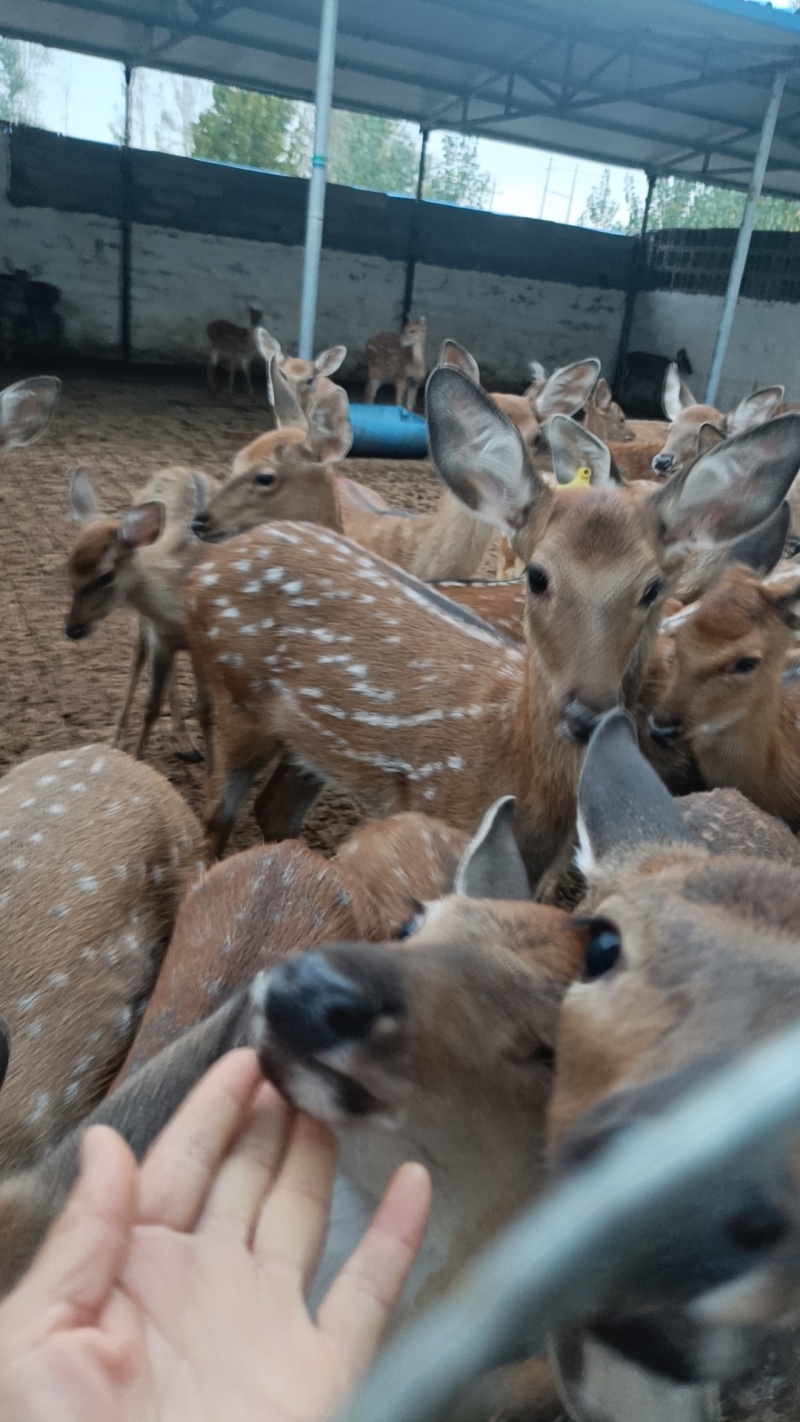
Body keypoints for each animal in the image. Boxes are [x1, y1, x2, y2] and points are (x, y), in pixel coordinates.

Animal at [65, 464, 220, 762]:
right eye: (67, 568)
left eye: (106, 576)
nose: (73, 629)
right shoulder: (159, 635)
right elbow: (151, 705)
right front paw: (137, 759)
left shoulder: (204, 642)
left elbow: (206, 709)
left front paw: (214, 769)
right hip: (147, 628)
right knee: (138, 656)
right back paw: (120, 738)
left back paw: (186, 743)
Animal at [184, 365, 800, 871]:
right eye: (537, 575)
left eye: (652, 587)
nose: (588, 713)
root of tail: (209, 566)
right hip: (233, 699)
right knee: (212, 821)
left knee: (274, 810)